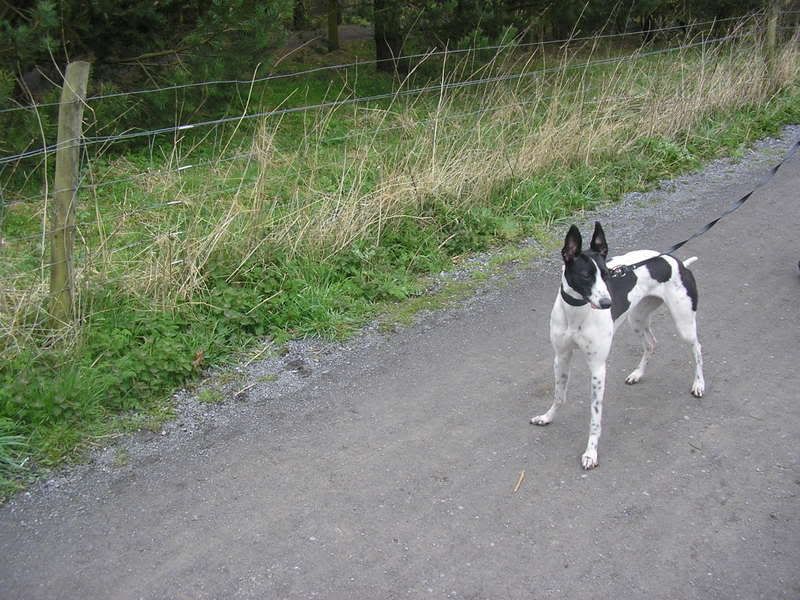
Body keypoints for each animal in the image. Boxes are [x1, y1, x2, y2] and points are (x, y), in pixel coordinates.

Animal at [536, 220, 704, 468]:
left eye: (606, 275)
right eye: (585, 276)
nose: (607, 303)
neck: (577, 313)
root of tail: (678, 262)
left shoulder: (597, 369)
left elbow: (595, 417)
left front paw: (591, 452)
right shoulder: (561, 357)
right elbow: (559, 395)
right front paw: (547, 417)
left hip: (684, 324)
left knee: (697, 348)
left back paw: (699, 384)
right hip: (637, 319)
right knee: (651, 343)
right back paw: (637, 374)